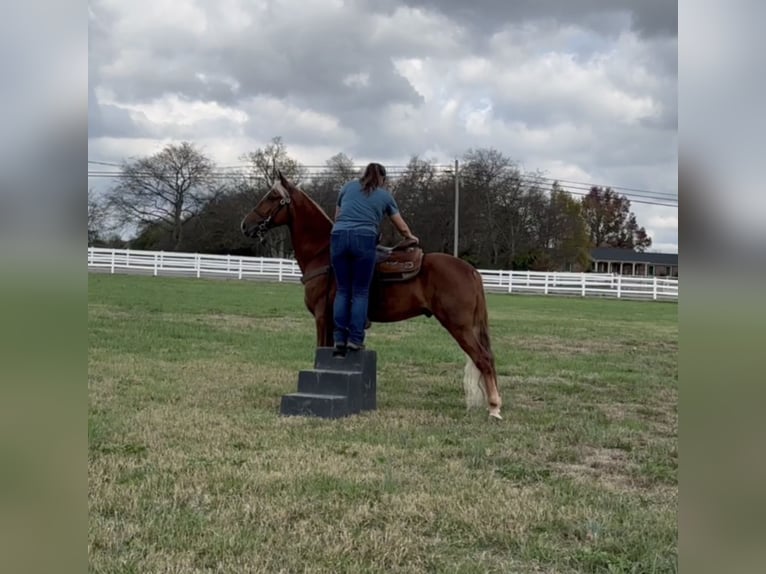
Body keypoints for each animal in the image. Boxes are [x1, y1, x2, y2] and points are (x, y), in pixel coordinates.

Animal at [240, 169, 504, 420]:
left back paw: (494, 408)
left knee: (483, 359)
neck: (323, 254)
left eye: (272, 197)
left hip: (459, 326)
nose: (245, 224)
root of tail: (471, 271)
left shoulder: (322, 317)